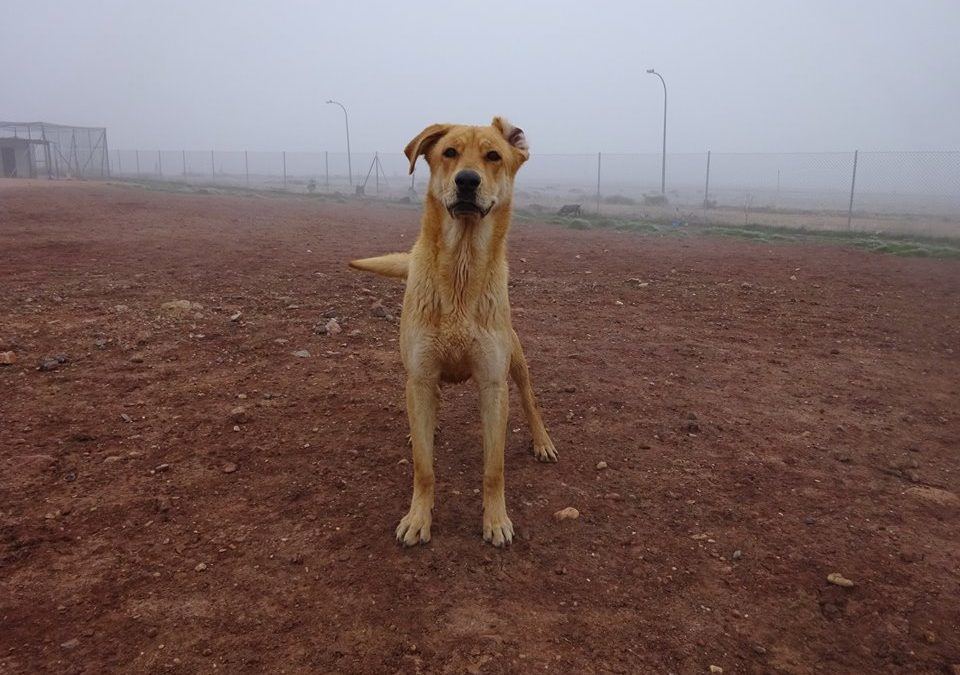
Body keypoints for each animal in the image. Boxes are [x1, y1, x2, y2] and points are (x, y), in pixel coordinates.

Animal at [348, 117, 560, 548]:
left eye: (493, 156)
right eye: (449, 153)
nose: (466, 180)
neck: (461, 268)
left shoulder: (493, 383)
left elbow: (494, 468)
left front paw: (496, 520)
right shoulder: (420, 375)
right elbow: (424, 467)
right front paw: (418, 518)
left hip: (516, 359)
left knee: (530, 399)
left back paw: (542, 441)